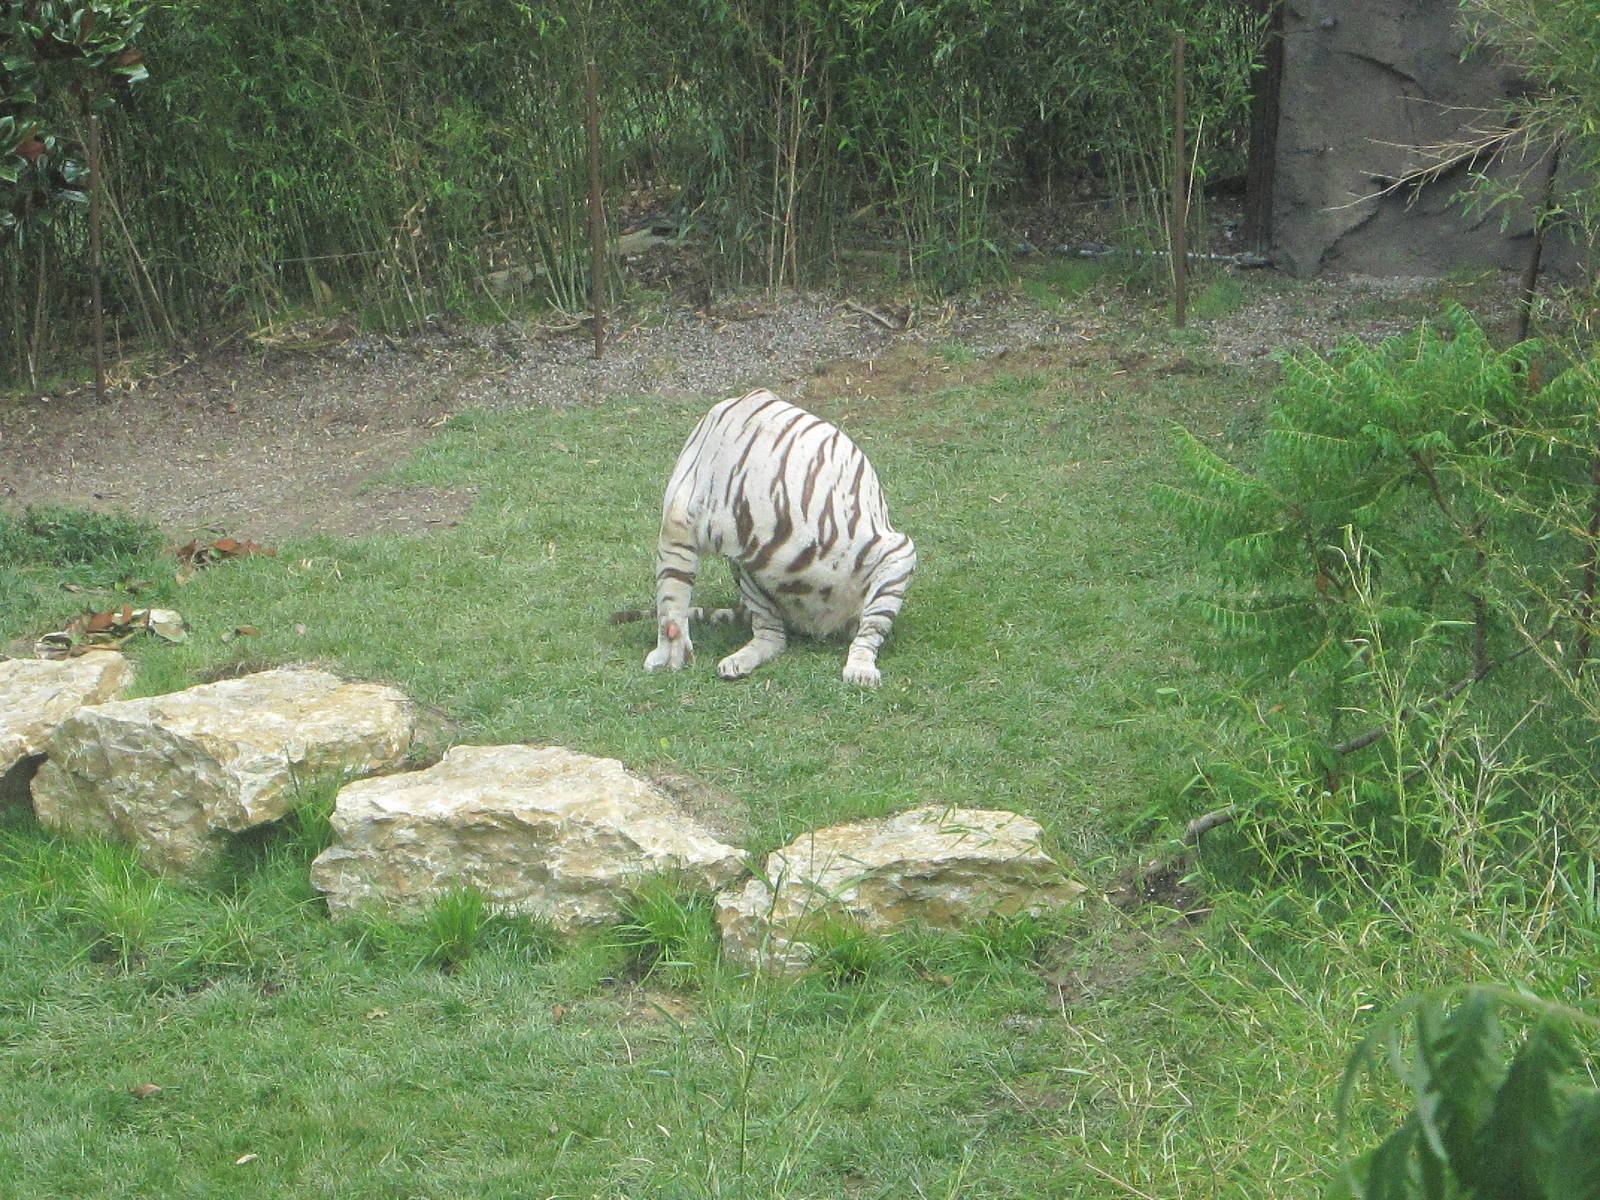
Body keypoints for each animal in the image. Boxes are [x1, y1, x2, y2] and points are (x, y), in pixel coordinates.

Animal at [620, 388, 916, 686]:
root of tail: (820, 627)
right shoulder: (683, 527)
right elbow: (671, 597)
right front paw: (670, 652)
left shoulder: (896, 550)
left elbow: (872, 626)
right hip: (749, 578)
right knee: (771, 636)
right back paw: (739, 661)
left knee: (864, 630)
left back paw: (860, 670)